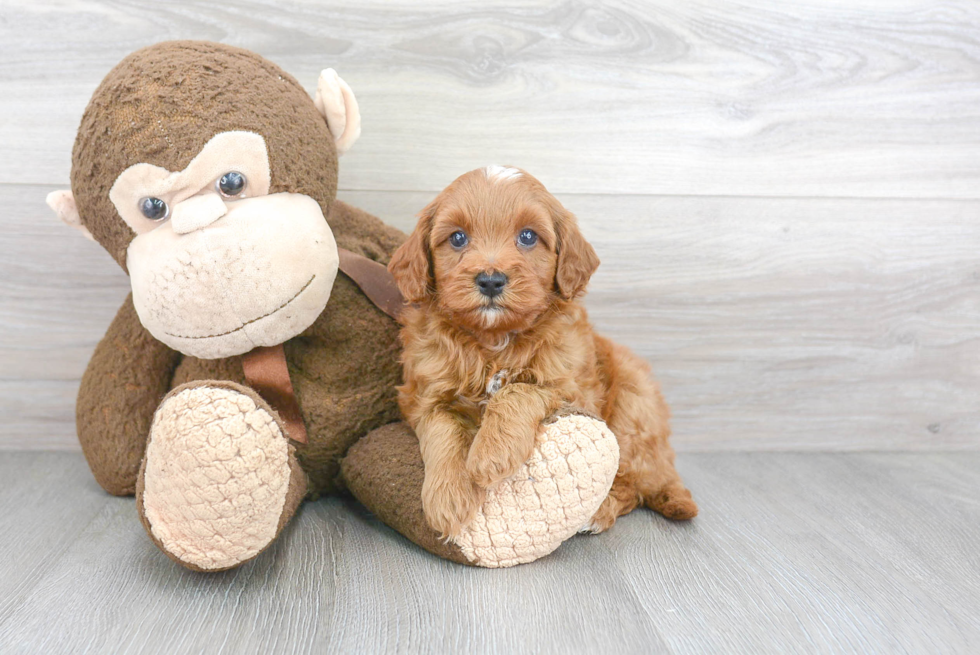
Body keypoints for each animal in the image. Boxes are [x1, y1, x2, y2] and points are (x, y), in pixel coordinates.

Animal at [388, 164, 696, 540]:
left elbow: (519, 390)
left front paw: (491, 454)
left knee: (631, 485)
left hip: (633, 405)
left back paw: (599, 512)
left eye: (528, 237)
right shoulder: (425, 395)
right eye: (458, 238)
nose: (490, 280)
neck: (494, 341)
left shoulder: (571, 387)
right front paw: (448, 499)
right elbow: (442, 430)